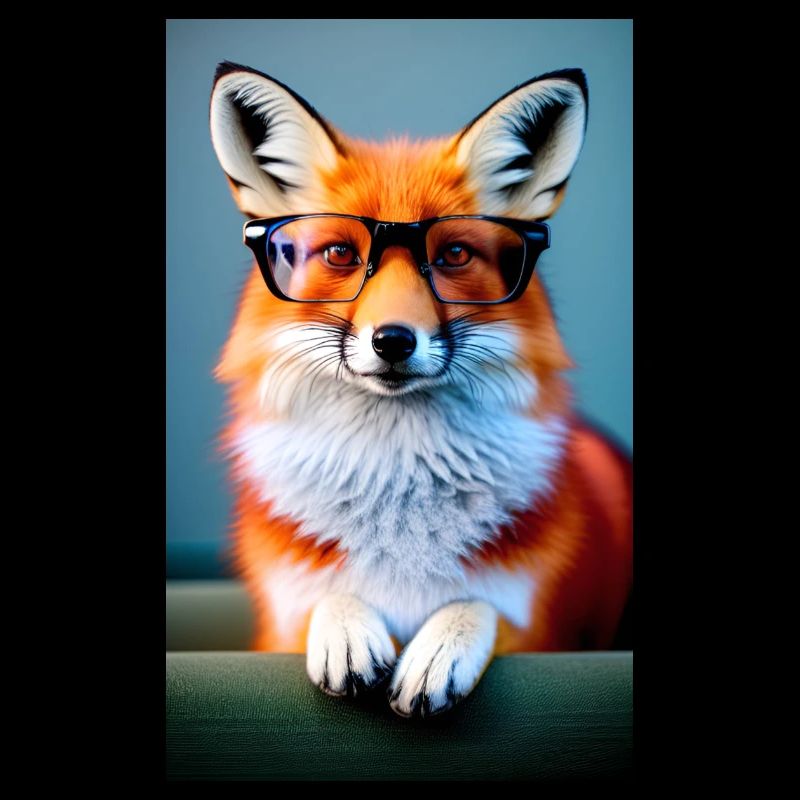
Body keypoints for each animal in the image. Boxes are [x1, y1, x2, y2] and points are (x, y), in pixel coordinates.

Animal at [208, 61, 632, 718]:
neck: (397, 483)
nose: (393, 341)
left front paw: (439, 647)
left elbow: (477, 606)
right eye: (340, 253)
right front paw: (346, 626)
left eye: (454, 253)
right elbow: (327, 598)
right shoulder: (274, 630)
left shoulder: (546, 631)